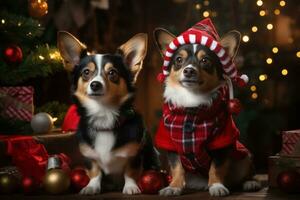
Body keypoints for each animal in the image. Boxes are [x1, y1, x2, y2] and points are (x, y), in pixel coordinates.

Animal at [57, 31, 158, 195]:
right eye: (86, 72)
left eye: (112, 73)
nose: (95, 84)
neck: (103, 114)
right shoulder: (89, 156)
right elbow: (95, 172)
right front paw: (91, 186)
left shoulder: (135, 154)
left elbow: (130, 172)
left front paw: (130, 187)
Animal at [155, 18, 260, 197]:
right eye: (179, 60)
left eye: (205, 61)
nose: (189, 70)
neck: (192, 102)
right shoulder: (170, 143)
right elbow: (176, 168)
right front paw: (174, 187)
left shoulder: (222, 141)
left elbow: (216, 167)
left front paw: (216, 186)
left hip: (245, 157)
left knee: (247, 173)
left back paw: (249, 183)